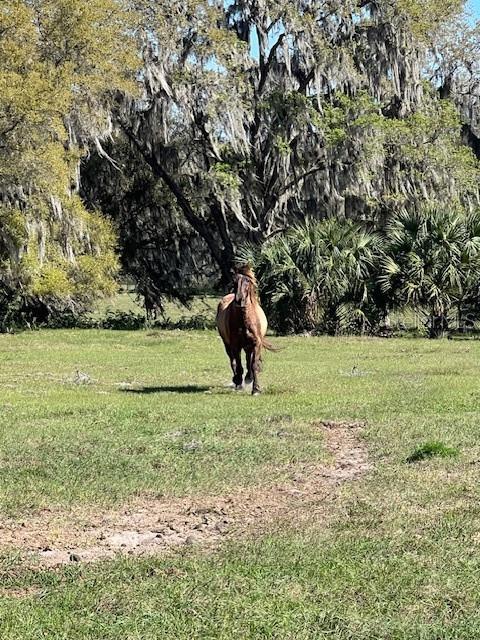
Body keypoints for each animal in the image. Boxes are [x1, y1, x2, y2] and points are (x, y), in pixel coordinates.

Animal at [216, 264, 276, 396]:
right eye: (234, 281)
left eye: (248, 281)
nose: (239, 300)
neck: (244, 320)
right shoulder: (235, 345)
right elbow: (238, 365)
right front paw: (239, 381)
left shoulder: (256, 343)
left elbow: (253, 364)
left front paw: (256, 389)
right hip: (227, 344)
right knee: (233, 361)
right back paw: (237, 381)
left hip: (248, 345)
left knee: (248, 360)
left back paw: (248, 377)